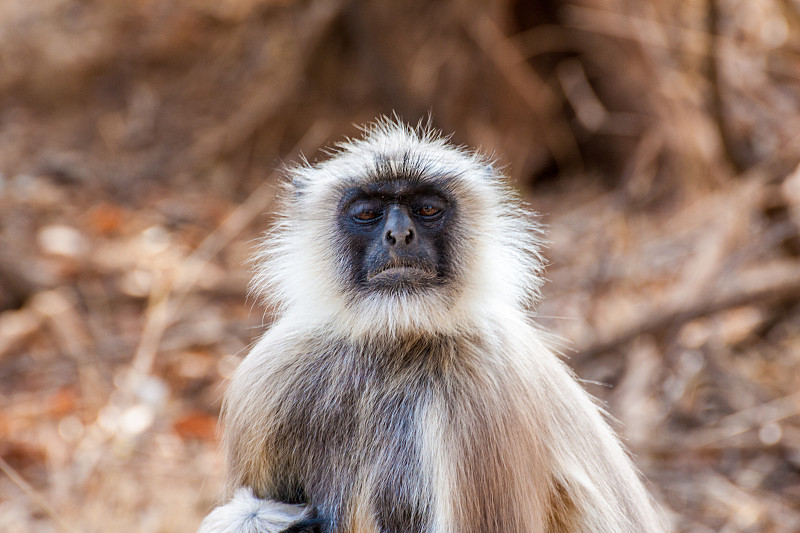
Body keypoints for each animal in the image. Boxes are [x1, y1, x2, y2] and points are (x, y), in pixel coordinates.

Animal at [197, 120, 664, 532]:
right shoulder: (269, 377)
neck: (393, 346)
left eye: (426, 209)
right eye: (368, 212)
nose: (399, 236)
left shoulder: (484, 387)